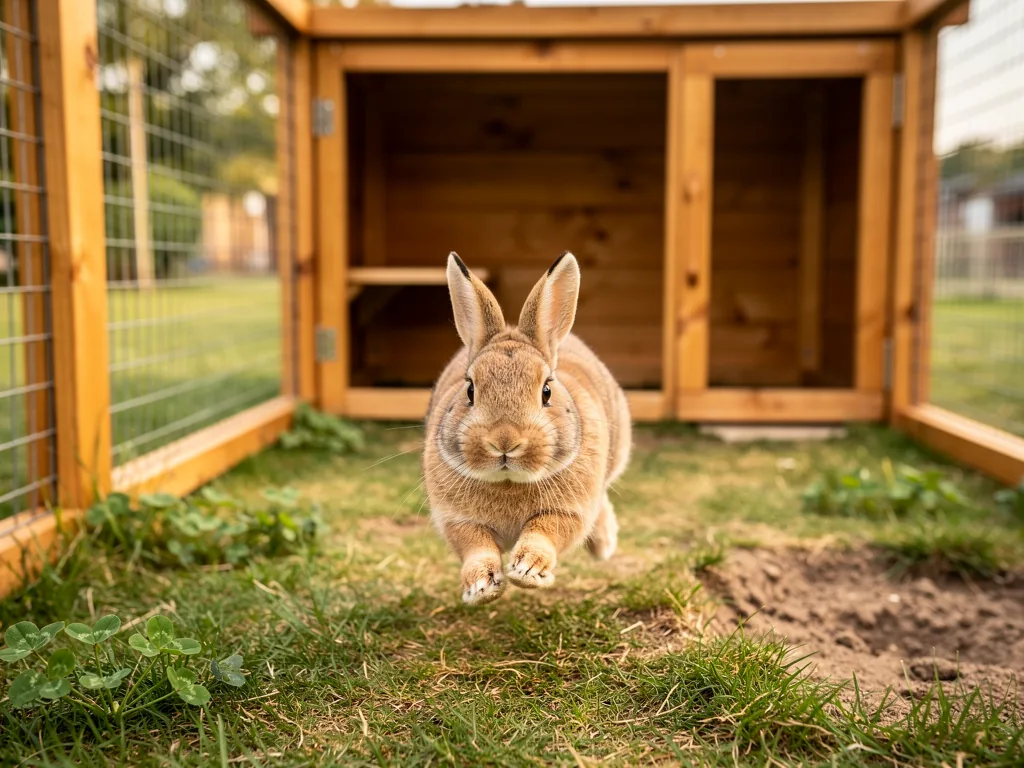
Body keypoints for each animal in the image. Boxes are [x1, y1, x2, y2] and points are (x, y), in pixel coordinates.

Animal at [423, 252, 632, 606]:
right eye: (470, 390)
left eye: (546, 391)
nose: (504, 440)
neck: (509, 481)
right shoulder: (457, 519)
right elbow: (474, 546)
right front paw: (481, 588)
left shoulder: (568, 511)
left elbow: (546, 532)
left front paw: (528, 571)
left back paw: (603, 544)